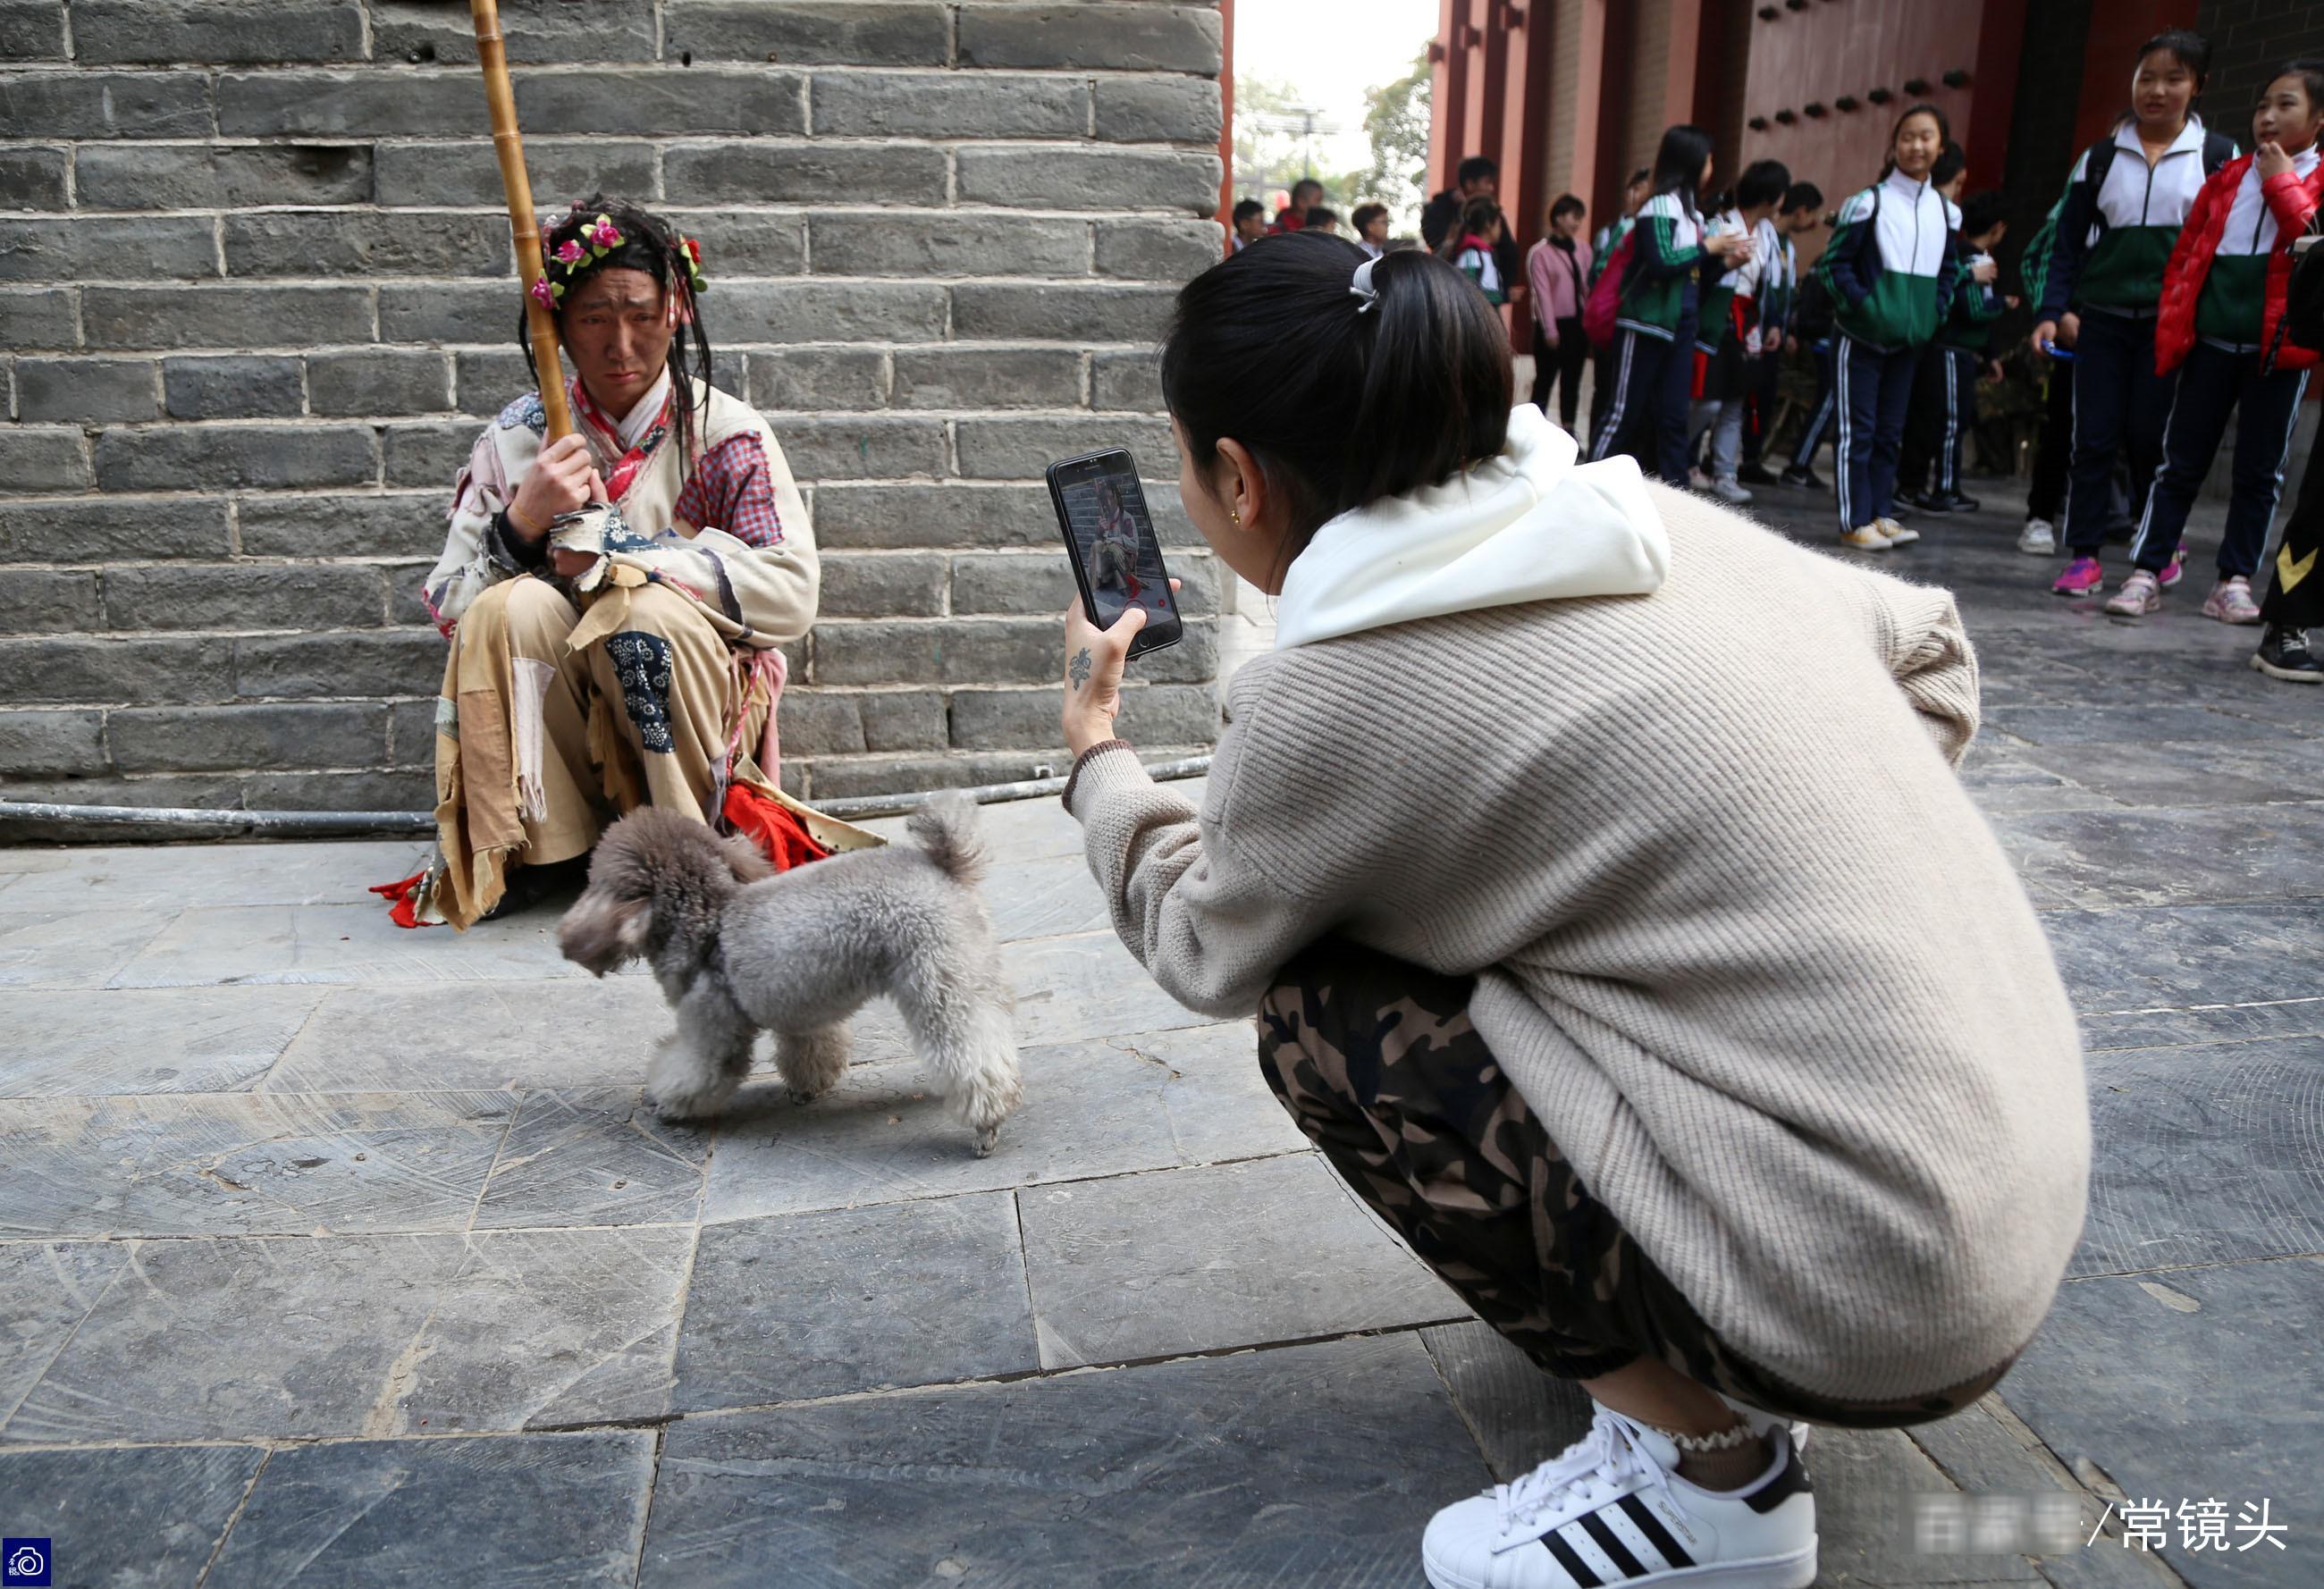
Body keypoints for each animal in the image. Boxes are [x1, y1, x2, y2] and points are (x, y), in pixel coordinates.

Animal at [558, 794, 1023, 1152]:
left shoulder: (712, 1026)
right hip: (971, 971)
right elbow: (813, 1051)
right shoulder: (802, 1009)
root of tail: (944, 863)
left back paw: (985, 1126)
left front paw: (666, 1103)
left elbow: (694, 1071)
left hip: (937, 982)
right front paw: (806, 1089)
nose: (567, 936)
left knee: (973, 1058)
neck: (709, 921)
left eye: (595, 881)